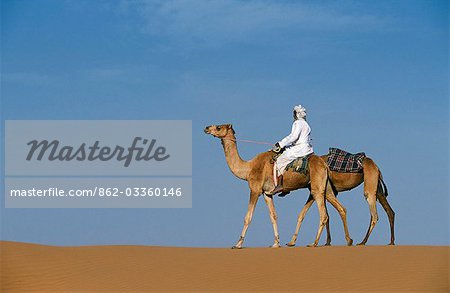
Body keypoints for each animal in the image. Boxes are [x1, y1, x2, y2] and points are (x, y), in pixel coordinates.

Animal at [205, 123, 356, 249]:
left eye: (218, 127)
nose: (206, 128)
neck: (248, 168)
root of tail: (324, 164)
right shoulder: (267, 193)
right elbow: (273, 216)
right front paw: (276, 243)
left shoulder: (255, 189)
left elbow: (248, 217)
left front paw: (238, 244)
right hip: (325, 187)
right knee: (340, 208)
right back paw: (348, 240)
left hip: (317, 187)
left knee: (324, 214)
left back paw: (314, 243)